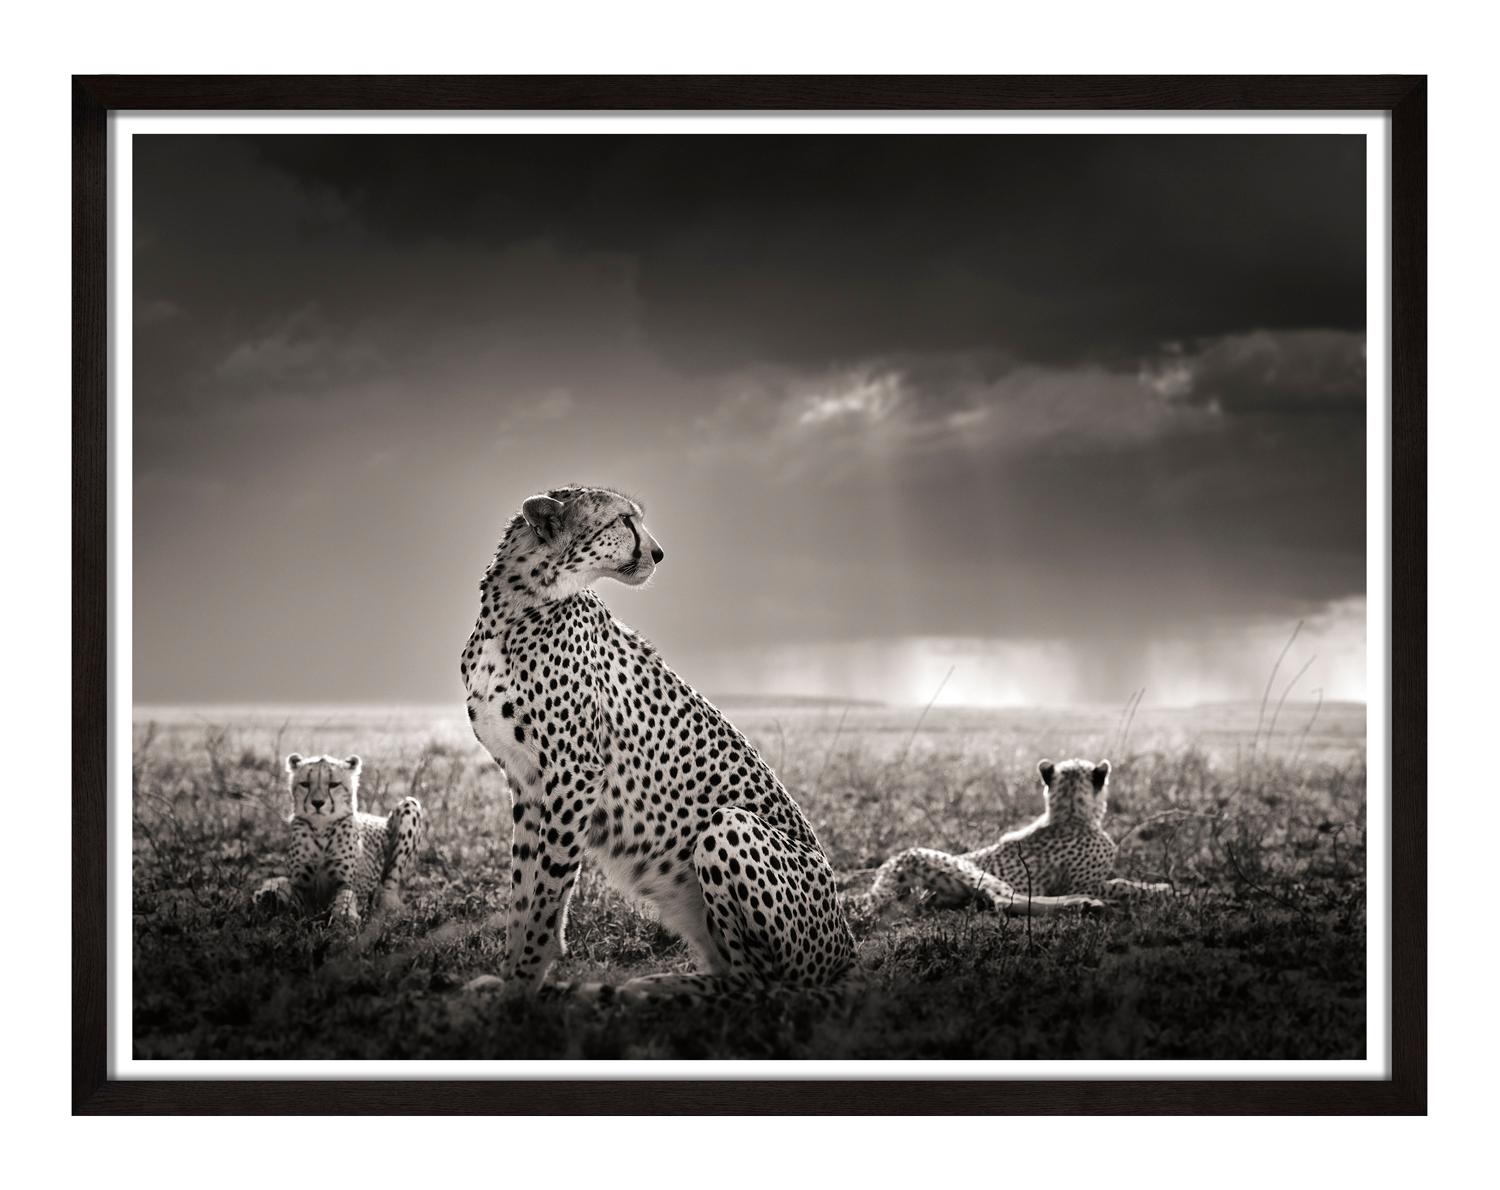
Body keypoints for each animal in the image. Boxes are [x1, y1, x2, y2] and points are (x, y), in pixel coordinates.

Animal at [252, 753, 426, 930]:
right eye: (305, 784)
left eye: (333, 784)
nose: (317, 803)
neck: (321, 828)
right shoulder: (301, 886)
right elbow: (291, 894)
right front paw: (272, 898)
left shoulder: (348, 883)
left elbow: (346, 896)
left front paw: (345, 916)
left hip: (410, 805)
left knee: (390, 888)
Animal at [456, 486, 858, 996]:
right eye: (624, 520)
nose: (660, 554)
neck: (514, 605)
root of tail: (848, 949)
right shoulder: (526, 782)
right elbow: (524, 892)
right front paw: (511, 979)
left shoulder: (574, 774)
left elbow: (547, 892)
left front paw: (522, 988)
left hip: (728, 828)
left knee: (758, 983)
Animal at [864, 756, 1164, 912]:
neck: (1069, 814)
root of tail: (890, 864)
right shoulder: (1084, 883)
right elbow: (1121, 882)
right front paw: (1161, 889)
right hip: (958, 866)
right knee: (1004, 900)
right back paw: (1083, 903)